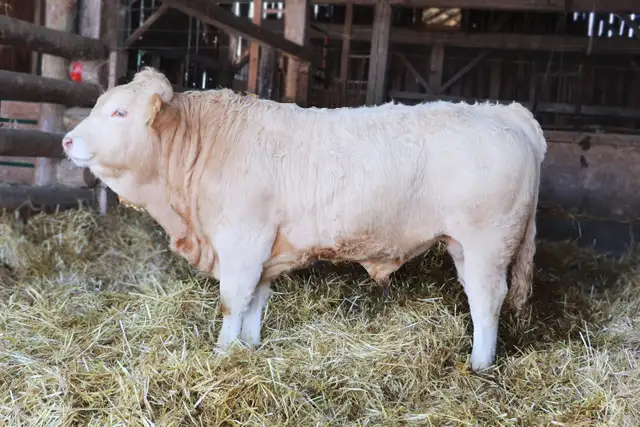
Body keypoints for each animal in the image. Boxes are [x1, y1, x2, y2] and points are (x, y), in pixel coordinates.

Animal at [61, 67, 546, 371]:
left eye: (119, 112)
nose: (67, 140)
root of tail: (502, 111)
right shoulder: (262, 250)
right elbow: (255, 301)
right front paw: (248, 347)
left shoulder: (242, 241)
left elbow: (233, 300)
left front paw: (221, 354)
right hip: (462, 245)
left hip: (488, 243)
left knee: (488, 300)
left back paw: (479, 366)